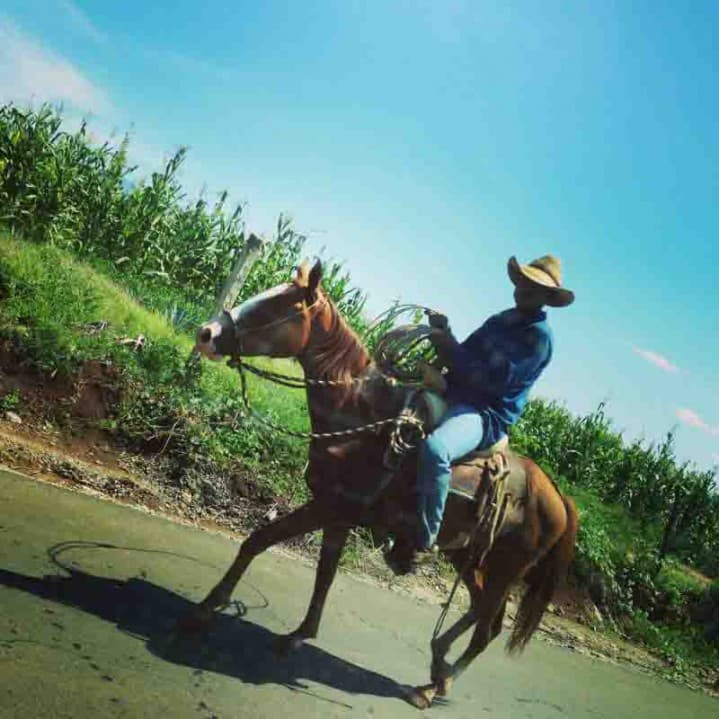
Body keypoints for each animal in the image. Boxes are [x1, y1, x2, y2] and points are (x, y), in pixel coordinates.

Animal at [187, 260, 580, 708]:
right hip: (472, 559)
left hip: (505, 571)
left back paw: (431, 685)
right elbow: (324, 573)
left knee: (486, 626)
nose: (206, 333)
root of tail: (558, 499)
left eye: (281, 305)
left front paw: (206, 609)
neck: (361, 414)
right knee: (486, 618)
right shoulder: (338, 514)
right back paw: (438, 668)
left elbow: (259, 540)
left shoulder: (328, 507)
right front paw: (299, 635)